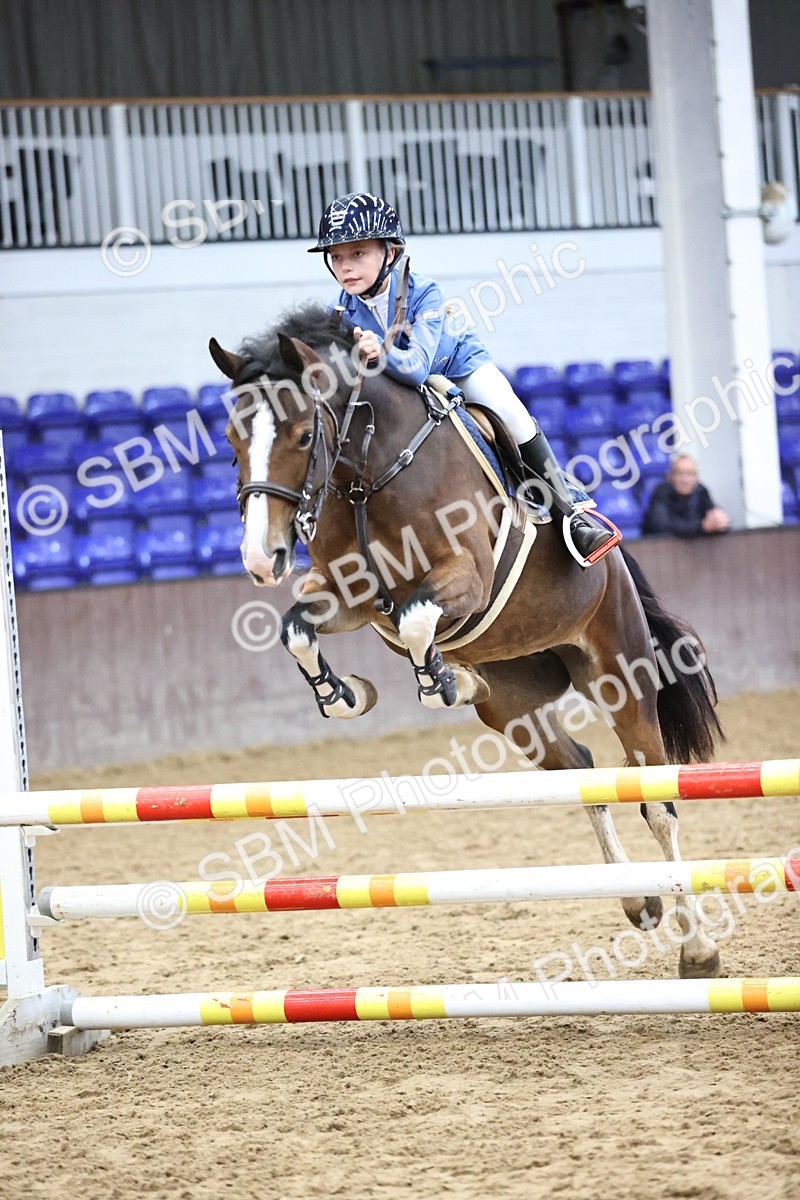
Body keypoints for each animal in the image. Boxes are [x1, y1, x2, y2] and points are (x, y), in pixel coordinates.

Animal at [209, 303, 724, 979]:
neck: (369, 469)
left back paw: (699, 949)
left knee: (656, 802)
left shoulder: (465, 578)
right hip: (514, 707)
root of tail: (617, 564)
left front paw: (435, 681)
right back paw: (639, 903)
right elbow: (300, 628)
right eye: (232, 440)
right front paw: (348, 695)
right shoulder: (350, 597)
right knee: (580, 772)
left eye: (300, 437)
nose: (260, 559)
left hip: (620, 674)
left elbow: (415, 620)